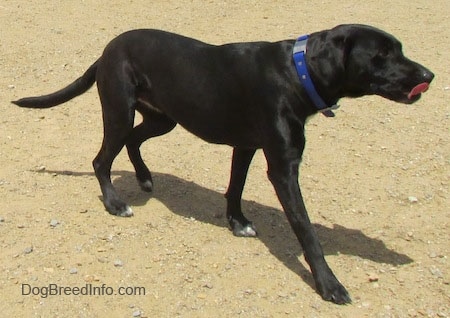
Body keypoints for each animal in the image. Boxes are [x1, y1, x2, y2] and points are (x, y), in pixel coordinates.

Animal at [13, 24, 432, 304]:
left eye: (399, 48)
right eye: (381, 56)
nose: (428, 75)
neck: (297, 72)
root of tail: (108, 49)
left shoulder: (246, 146)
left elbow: (235, 187)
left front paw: (237, 222)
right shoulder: (283, 168)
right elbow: (306, 229)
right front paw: (329, 284)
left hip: (162, 117)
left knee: (133, 143)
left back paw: (145, 178)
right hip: (120, 111)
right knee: (101, 159)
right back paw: (115, 203)